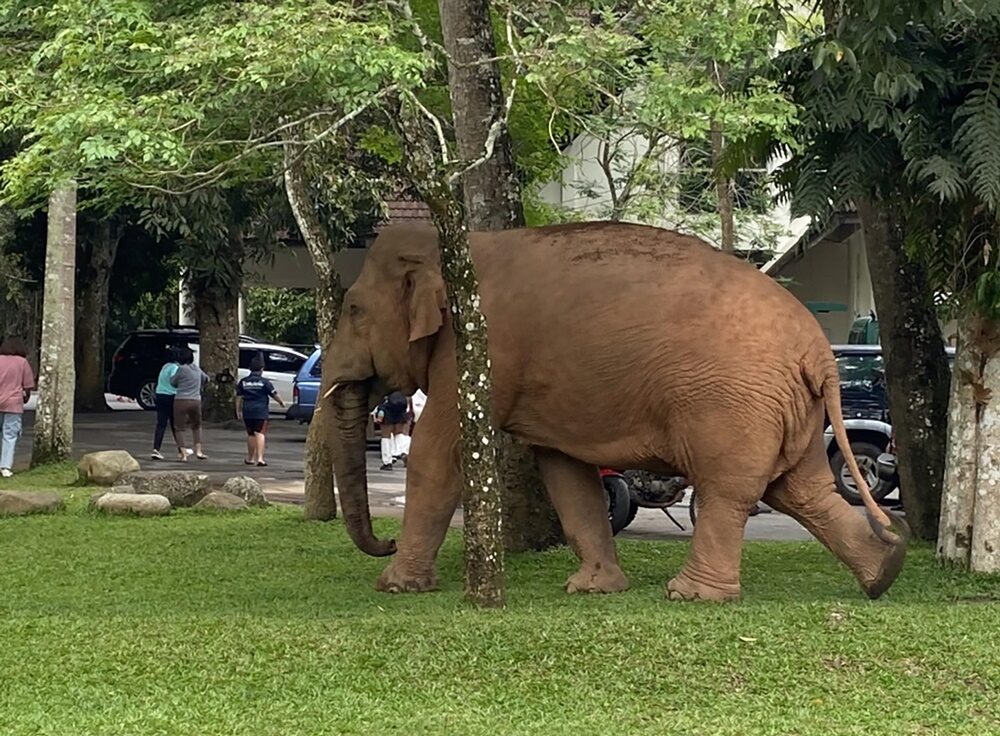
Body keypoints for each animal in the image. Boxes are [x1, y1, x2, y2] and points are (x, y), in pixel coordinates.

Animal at [324, 221, 912, 600]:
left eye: (353, 309)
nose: (385, 541)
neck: (458, 246)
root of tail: (821, 353)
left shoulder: (479, 350)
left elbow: (438, 454)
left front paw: (396, 587)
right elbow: (567, 475)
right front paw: (594, 588)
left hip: (734, 405)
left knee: (730, 490)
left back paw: (692, 595)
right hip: (789, 412)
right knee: (803, 491)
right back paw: (884, 572)